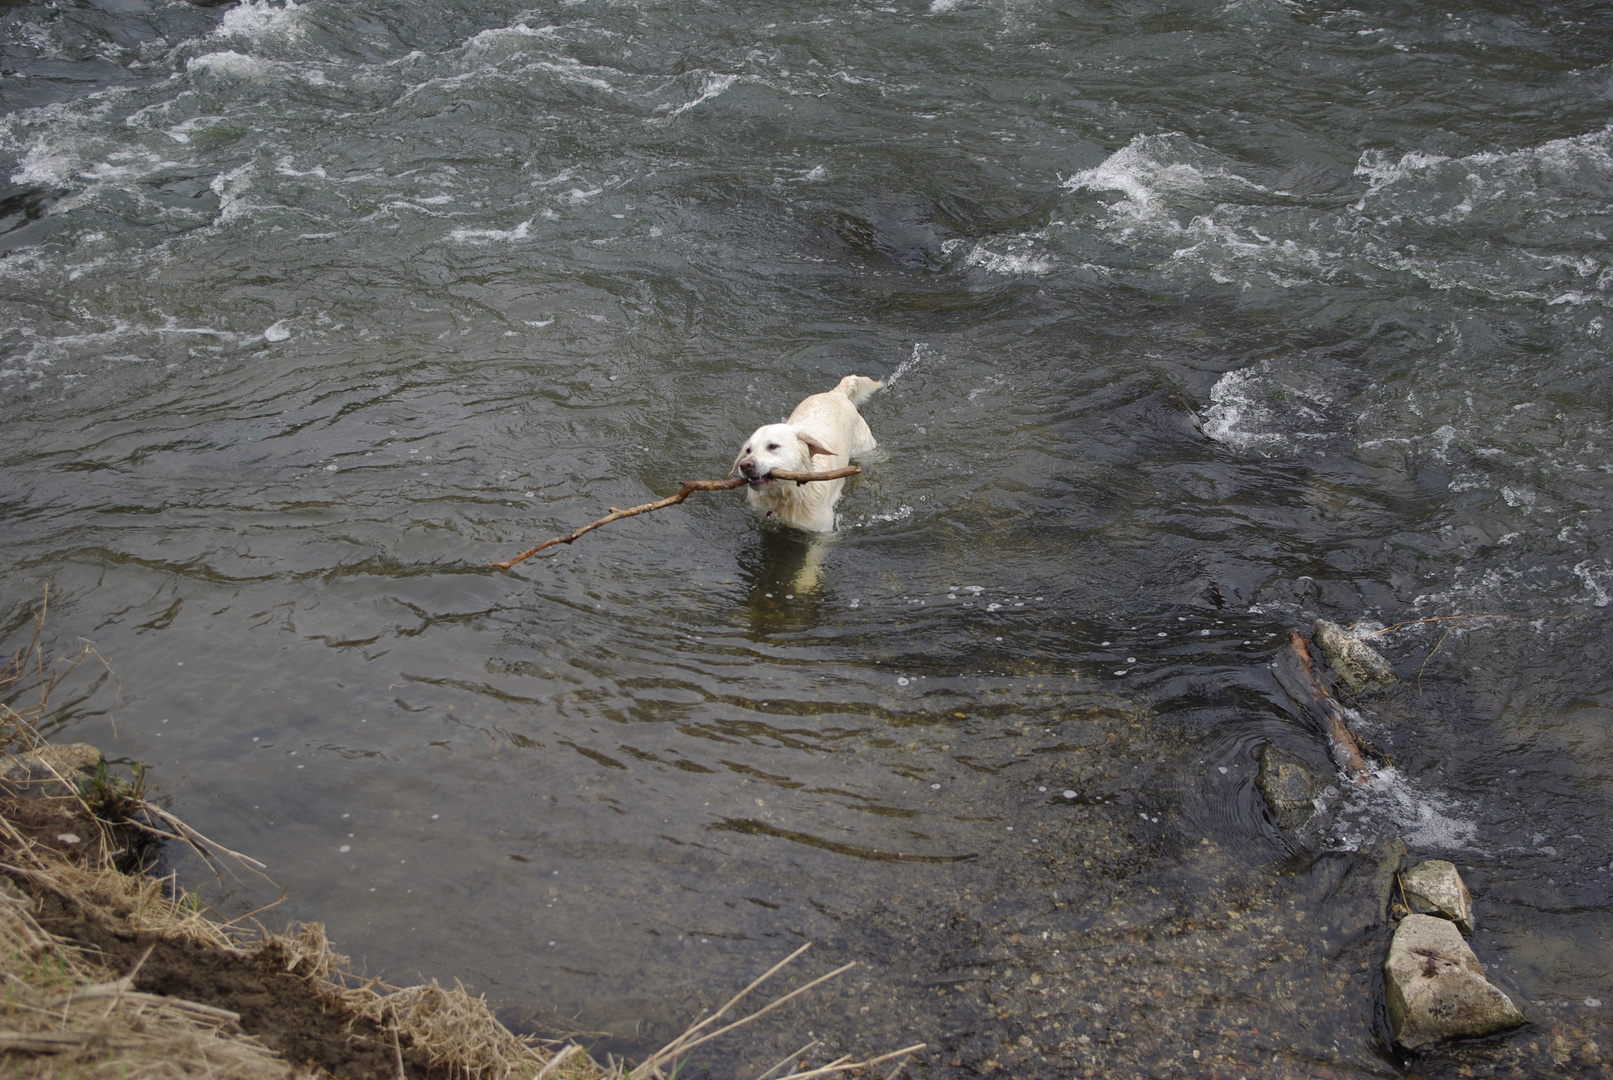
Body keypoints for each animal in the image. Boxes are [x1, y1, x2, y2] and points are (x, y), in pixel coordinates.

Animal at [735, 377, 883, 538]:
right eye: (748, 450)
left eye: (773, 446)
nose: (745, 465)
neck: (789, 496)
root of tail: (836, 393)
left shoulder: (821, 533)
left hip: (866, 450)